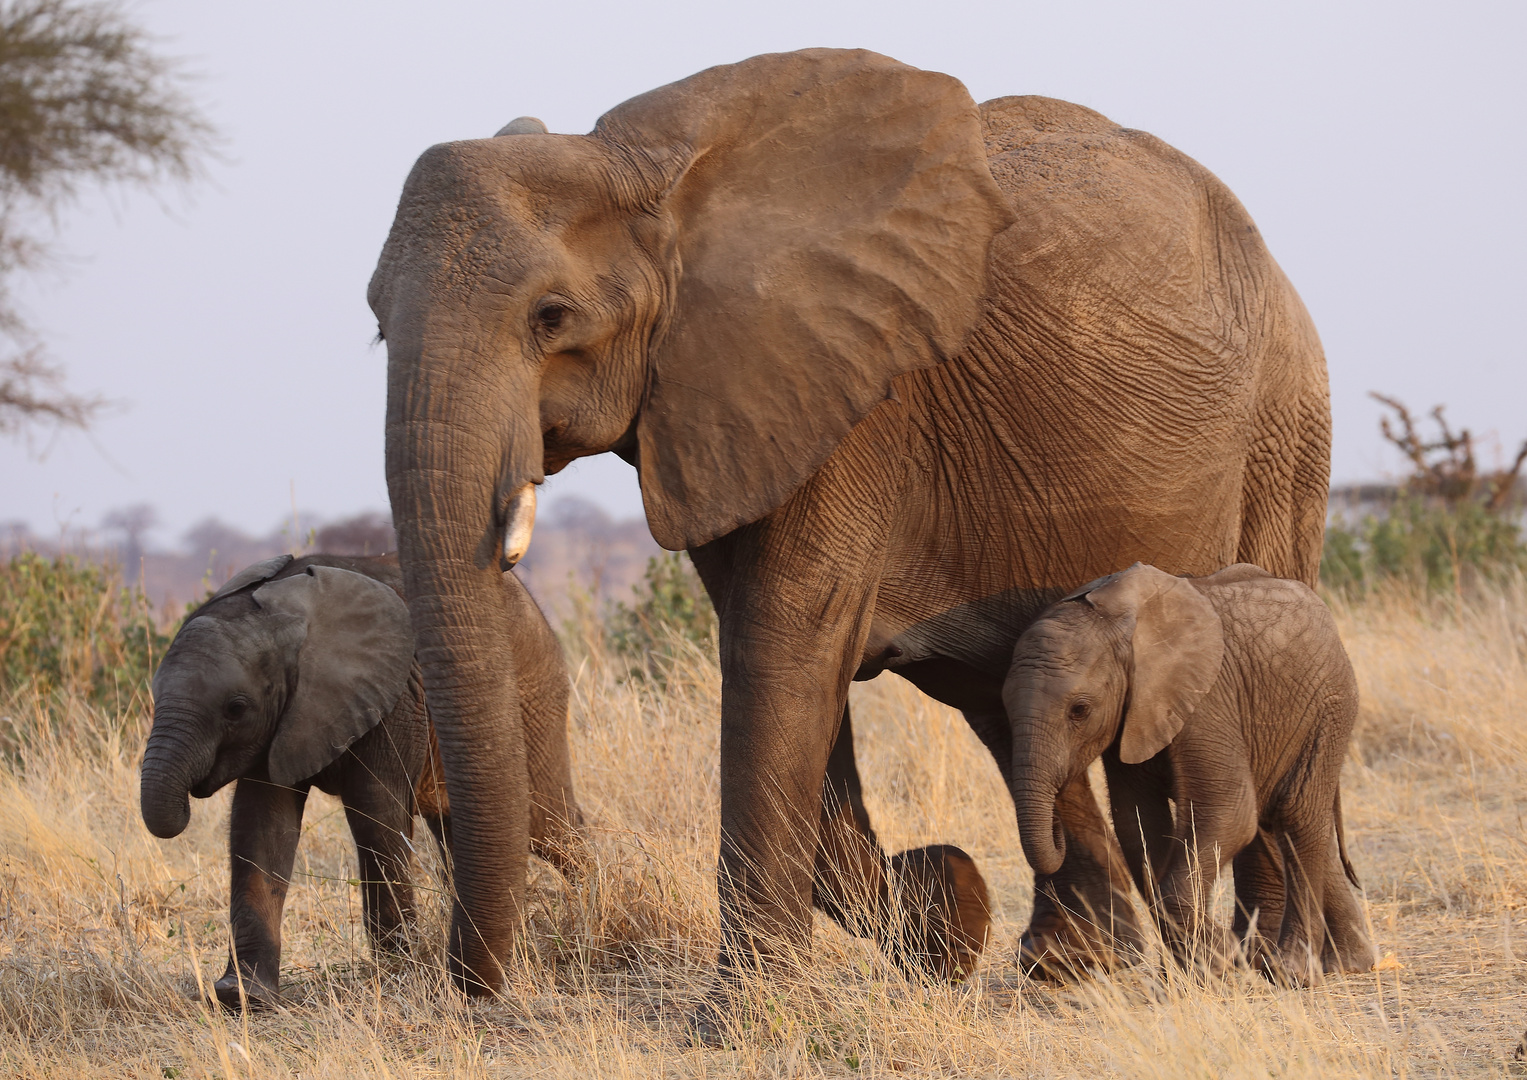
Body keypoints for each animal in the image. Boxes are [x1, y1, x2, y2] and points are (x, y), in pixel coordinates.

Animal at [138, 552, 577, 1008]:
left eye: (236, 708)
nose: (191, 796)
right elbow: (262, 826)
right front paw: (243, 997)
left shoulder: (394, 701)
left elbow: (376, 815)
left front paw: (398, 973)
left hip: (534, 693)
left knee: (548, 825)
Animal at [369, 48, 1325, 995]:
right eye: (377, 325)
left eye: (550, 317)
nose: (480, 988)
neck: (642, 172)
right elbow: (777, 659)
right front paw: (944, 910)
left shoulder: (857, 405)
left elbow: (782, 642)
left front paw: (751, 1009)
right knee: (1001, 696)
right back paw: (1070, 960)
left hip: (1283, 418)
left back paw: (1269, 962)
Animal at [1001, 562, 1374, 983]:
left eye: (1079, 710)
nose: (1057, 827)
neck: (1119, 626)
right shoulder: (1132, 715)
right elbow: (1140, 826)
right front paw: (1201, 966)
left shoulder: (1206, 699)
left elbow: (1228, 812)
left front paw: (1222, 958)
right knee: (1290, 818)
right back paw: (1349, 963)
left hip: (1330, 705)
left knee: (1296, 815)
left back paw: (1292, 971)